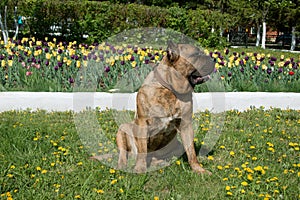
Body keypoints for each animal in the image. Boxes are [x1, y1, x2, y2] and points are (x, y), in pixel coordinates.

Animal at [115, 41, 216, 174]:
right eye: (196, 54)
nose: (214, 59)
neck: (170, 89)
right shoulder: (142, 123)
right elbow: (142, 150)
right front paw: (140, 168)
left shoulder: (186, 124)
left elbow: (191, 152)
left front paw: (199, 169)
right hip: (123, 128)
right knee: (123, 153)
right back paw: (122, 165)